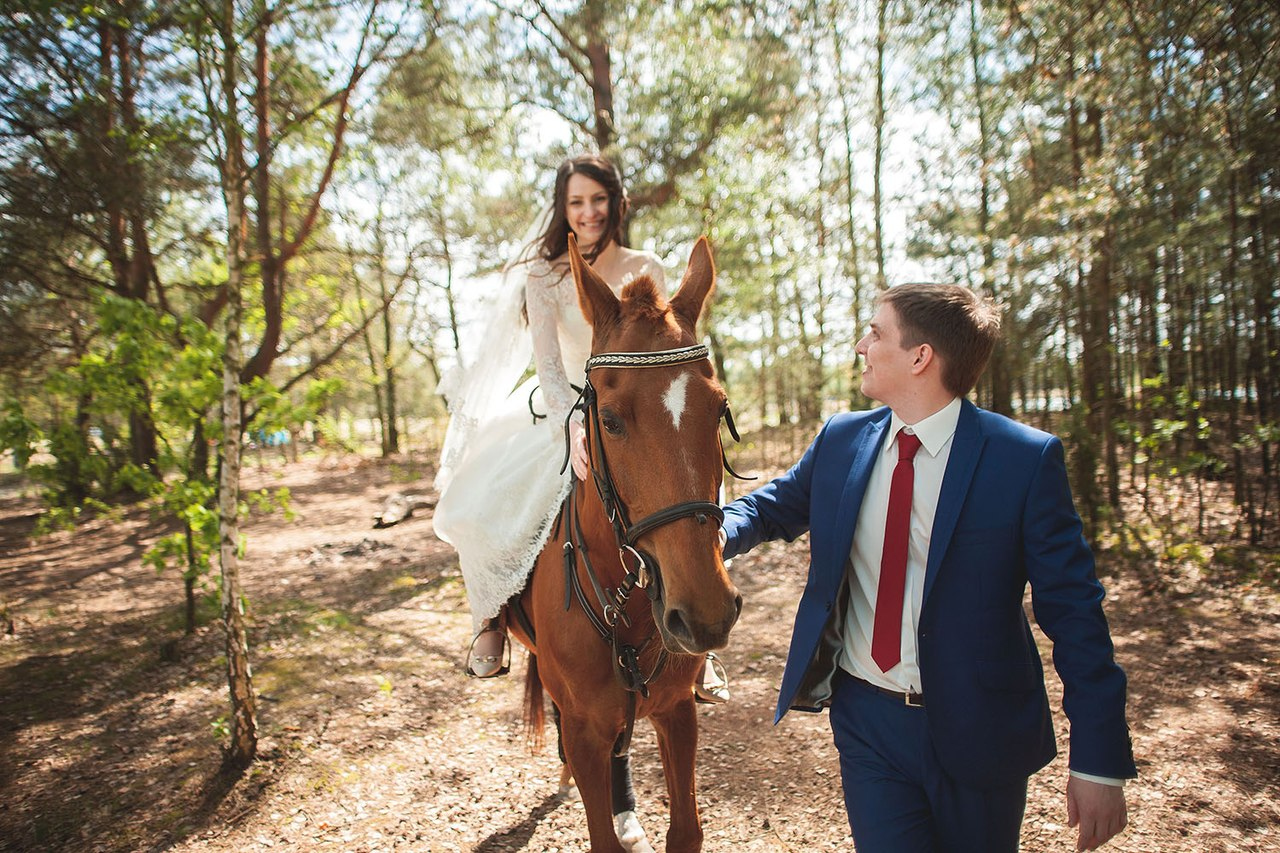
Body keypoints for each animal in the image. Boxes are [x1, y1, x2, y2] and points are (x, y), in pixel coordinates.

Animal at [501, 234, 742, 850]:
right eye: (608, 420)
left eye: (719, 409)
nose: (706, 613)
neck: (624, 609)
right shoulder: (586, 726)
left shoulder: (678, 712)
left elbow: (686, 830)